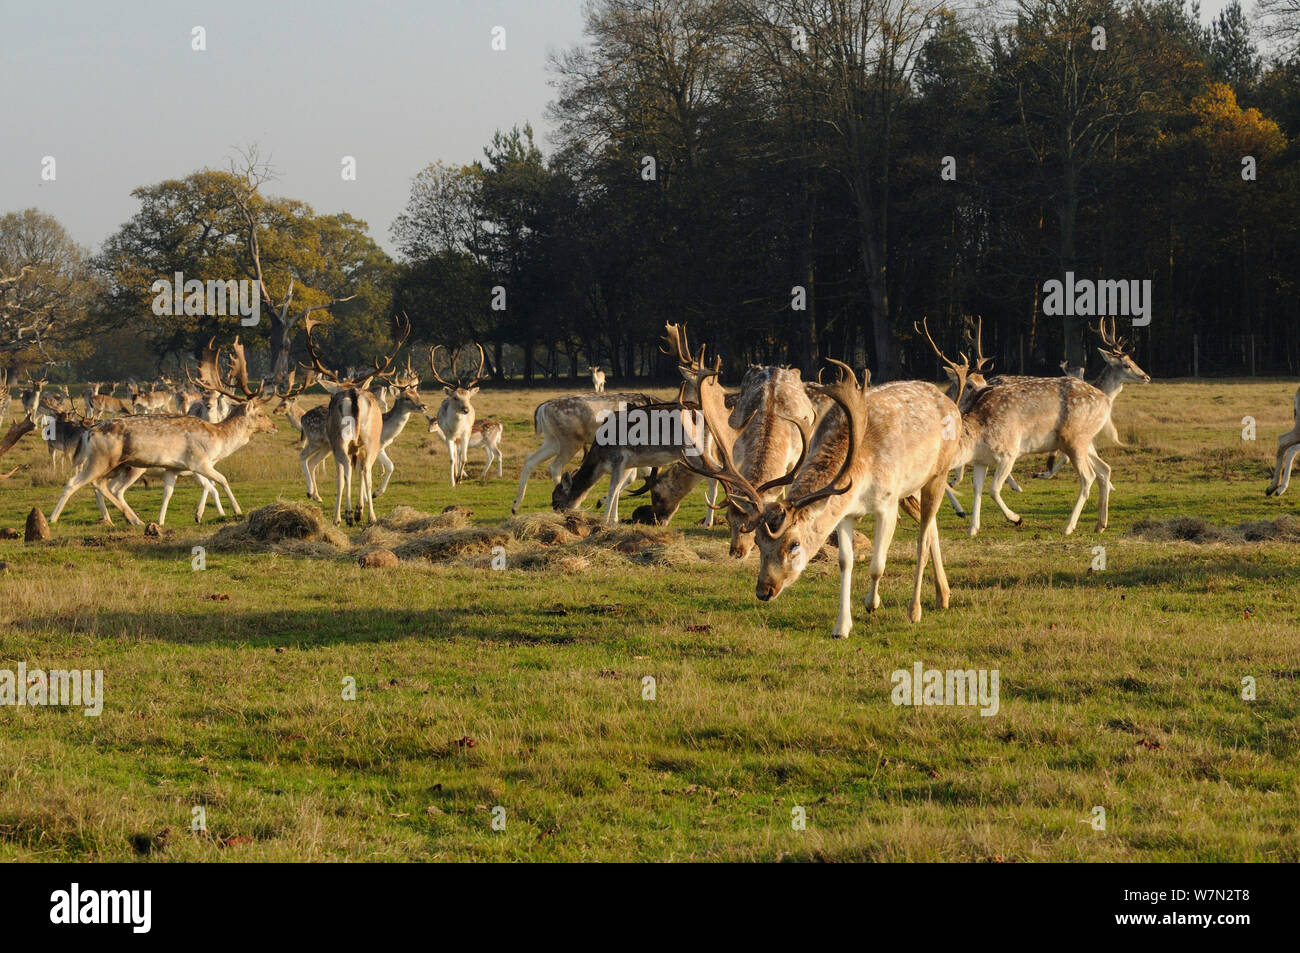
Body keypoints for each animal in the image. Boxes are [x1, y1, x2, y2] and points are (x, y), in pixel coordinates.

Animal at [47, 338, 276, 525]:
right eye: (260, 414)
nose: (274, 426)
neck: (217, 440)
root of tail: (89, 432)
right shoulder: (198, 461)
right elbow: (220, 481)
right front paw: (236, 511)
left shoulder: (173, 468)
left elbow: (169, 492)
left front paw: (162, 521)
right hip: (104, 460)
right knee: (77, 482)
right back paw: (53, 519)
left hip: (115, 465)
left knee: (100, 485)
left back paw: (131, 519)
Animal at [428, 343, 488, 486]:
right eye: (455, 397)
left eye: (469, 397)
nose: (466, 410)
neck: (457, 428)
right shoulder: (448, 435)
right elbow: (451, 459)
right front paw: (452, 481)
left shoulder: (466, 434)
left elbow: (464, 458)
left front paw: (460, 478)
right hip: (452, 438)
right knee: (455, 454)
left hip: (463, 437)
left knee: (460, 455)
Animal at [686, 361, 961, 634]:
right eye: (758, 541)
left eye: (794, 544)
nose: (763, 591)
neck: (861, 472)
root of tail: (950, 403)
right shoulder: (845, 512)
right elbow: (845, 562)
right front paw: (842, 627)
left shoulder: (888, 502)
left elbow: (877, 565)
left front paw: (872, 603)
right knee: (932, 527)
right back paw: (943, 596)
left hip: (938, 473)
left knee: (923, 538)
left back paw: (915, 610)